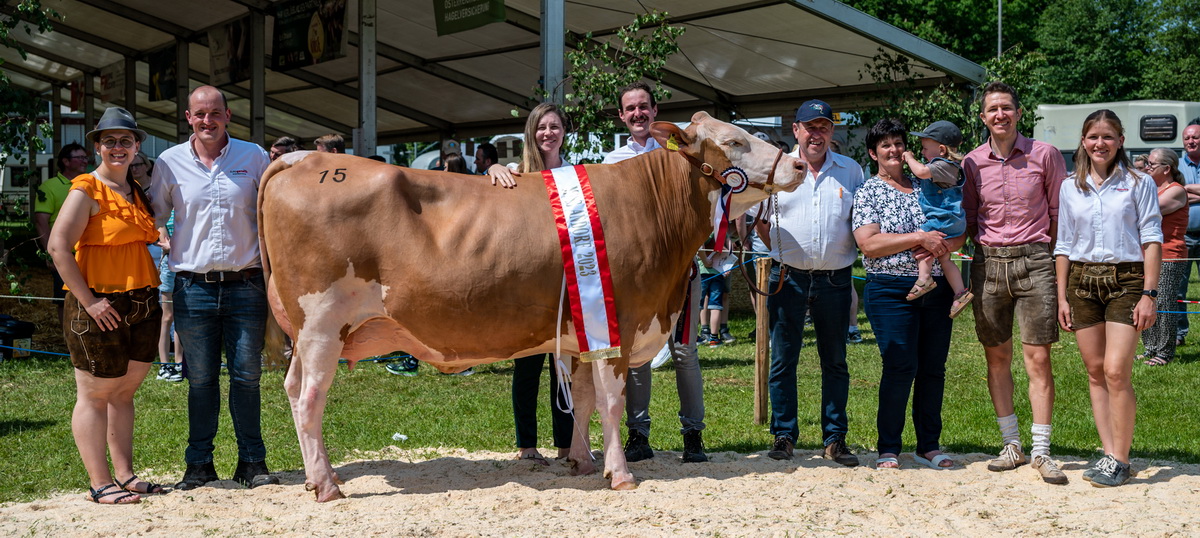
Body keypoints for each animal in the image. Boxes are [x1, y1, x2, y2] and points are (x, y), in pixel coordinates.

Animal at [262, 111, 806, 501]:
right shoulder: (619, 322)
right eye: (733, 141)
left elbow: (582, 400)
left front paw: (583, 462)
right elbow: (611, 401)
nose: (799, 162)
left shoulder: (587, 327)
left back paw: (318, 479)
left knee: (292, 390)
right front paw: (621, 474)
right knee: (309, 399)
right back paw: (327, 486)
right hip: (322, 324)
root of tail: (301, 159)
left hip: (310, 332)